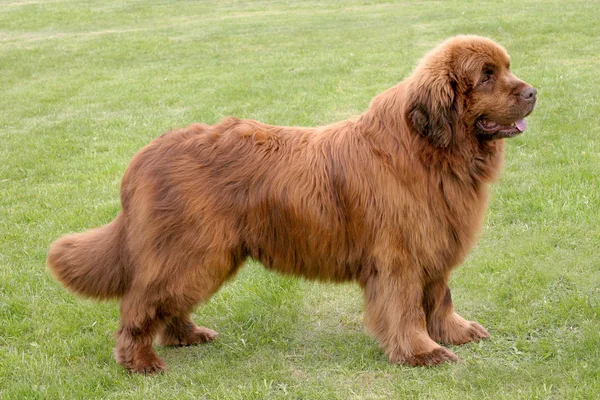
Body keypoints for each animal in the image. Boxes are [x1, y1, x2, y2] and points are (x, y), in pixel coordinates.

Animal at [47, 36, 536, 374]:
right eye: (486, 75)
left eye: (507, 68)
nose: (533, 91)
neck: (430, 151)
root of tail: (143, 157)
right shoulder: (398, 256)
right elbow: (406, 308)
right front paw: (421, 352)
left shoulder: (433, 246)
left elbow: (439, 298)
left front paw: (454, 333)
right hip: (191, 252)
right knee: (140, 302)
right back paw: (139, 361)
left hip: (201, 255)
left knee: (166, 302)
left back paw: (187, 336)